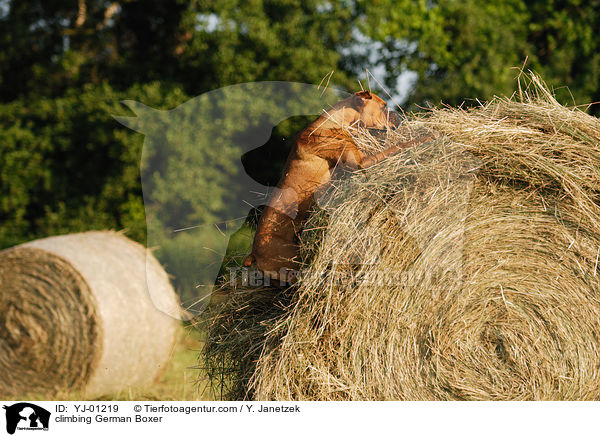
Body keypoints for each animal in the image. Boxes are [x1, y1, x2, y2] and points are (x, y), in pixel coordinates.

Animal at [244, 90, 432, 282]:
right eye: (383, 106)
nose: (398, 115)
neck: (336, 122)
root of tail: (254, 254)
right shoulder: (361, 163)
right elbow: (398, 146)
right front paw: (425, 137)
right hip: (292, 263)